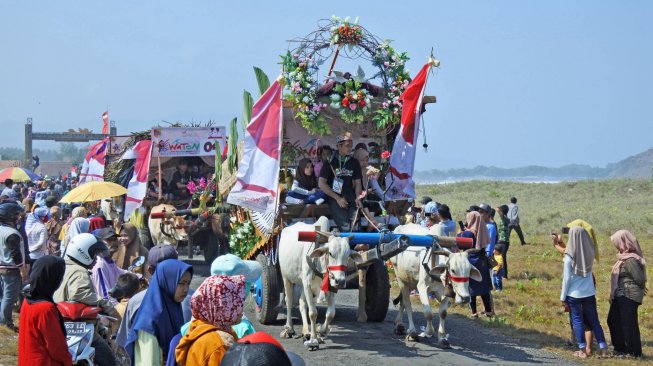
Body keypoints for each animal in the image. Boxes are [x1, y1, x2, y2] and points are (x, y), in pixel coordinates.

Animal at [278, 216, 364, 350]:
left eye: (348, 255)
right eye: (331, 253)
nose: (340, 281)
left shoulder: (331, 287)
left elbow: (330, 314)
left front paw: (321, 331)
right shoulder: (307, 285)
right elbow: (313, 313)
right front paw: (314, 340)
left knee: (302, 303)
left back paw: (306, 330)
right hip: (286, 277)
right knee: (289, 301)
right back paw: (289, 329)